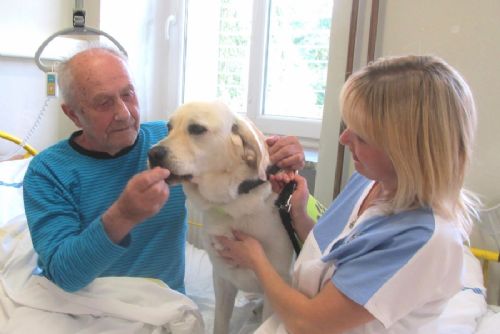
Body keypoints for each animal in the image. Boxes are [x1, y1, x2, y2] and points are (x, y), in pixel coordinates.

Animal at [147, 100, 292, 332]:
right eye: (169, 127)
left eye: (197, 129)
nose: (152, 153)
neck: (235, 203)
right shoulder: (222, 279)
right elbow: (220, 323)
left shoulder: (276, 289)